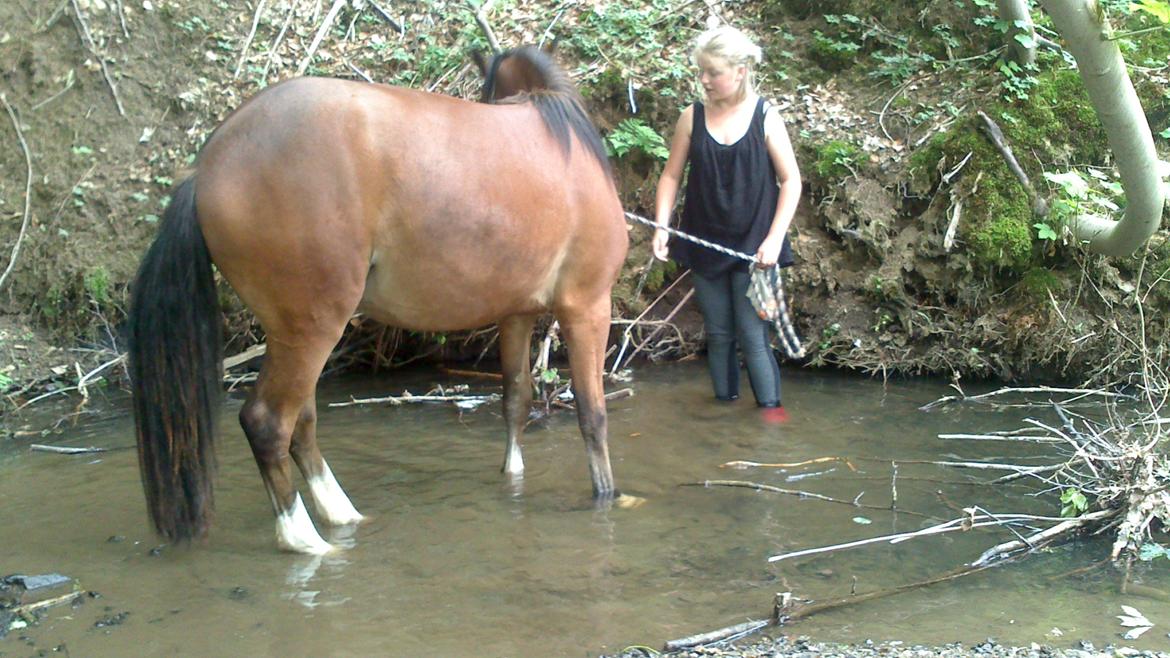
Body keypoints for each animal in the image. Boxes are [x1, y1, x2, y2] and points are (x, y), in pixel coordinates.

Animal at [128, 47, 629, 555]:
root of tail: (208, 166)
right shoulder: (588, 306)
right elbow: (592, 414)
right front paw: (608, 495)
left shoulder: (516, 314)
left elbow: (515, 401)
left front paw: (513, 480)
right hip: (312, 328)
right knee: (268, 423)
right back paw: (304, 538)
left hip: (292, 334)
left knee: (302, 422)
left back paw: (341, 513)